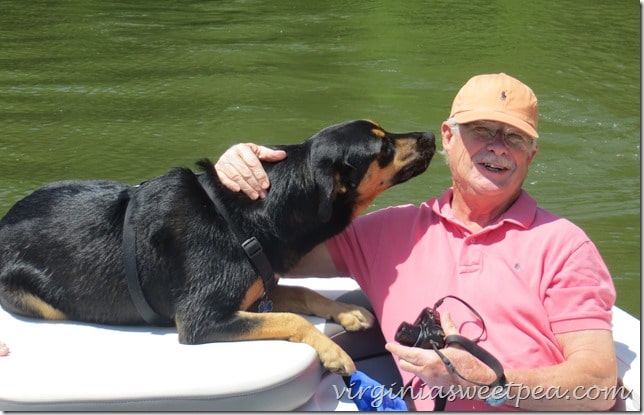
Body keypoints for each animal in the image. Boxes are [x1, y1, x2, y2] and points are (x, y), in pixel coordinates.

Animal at [0, 120, 436, 376]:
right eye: (382, 149)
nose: (431, 135)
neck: (250, 216)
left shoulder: (260, 288)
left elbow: (301, 292)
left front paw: (345, 312)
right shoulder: (202, 319)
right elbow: (292, 319)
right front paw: (333, 352)